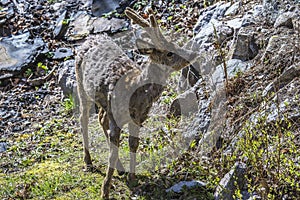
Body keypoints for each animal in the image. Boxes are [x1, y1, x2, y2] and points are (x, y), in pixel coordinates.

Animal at [74, 7, 197, 198]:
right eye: (169, 53)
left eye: (175, 45)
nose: (192, 54)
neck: (136, 91)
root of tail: (89, 39)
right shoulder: (118, 118)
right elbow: (113, 152)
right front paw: (105, 190)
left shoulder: (138, 118)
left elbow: (133, 144)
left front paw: (131, 177)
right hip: (81, 86)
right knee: (83, 119)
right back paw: (88, 161)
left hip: (104, 103)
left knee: (101, 119)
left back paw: (119, 168)